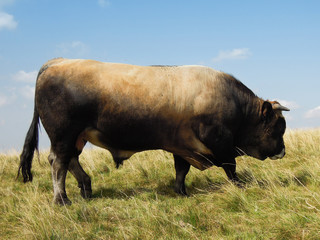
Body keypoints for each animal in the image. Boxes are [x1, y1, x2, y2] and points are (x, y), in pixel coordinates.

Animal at [17, 58, 290, 204]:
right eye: (279, 127)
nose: (283, 151)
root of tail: (58, 62)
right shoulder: (220, 142)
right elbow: (230, 167)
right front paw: (240, 186)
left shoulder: (183, 145)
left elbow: (181, 170)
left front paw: (181, 192)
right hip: (63, 135)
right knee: (58, 163)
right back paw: (62, 199)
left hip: (76, 137)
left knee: (70, 161)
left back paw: (86, 188)